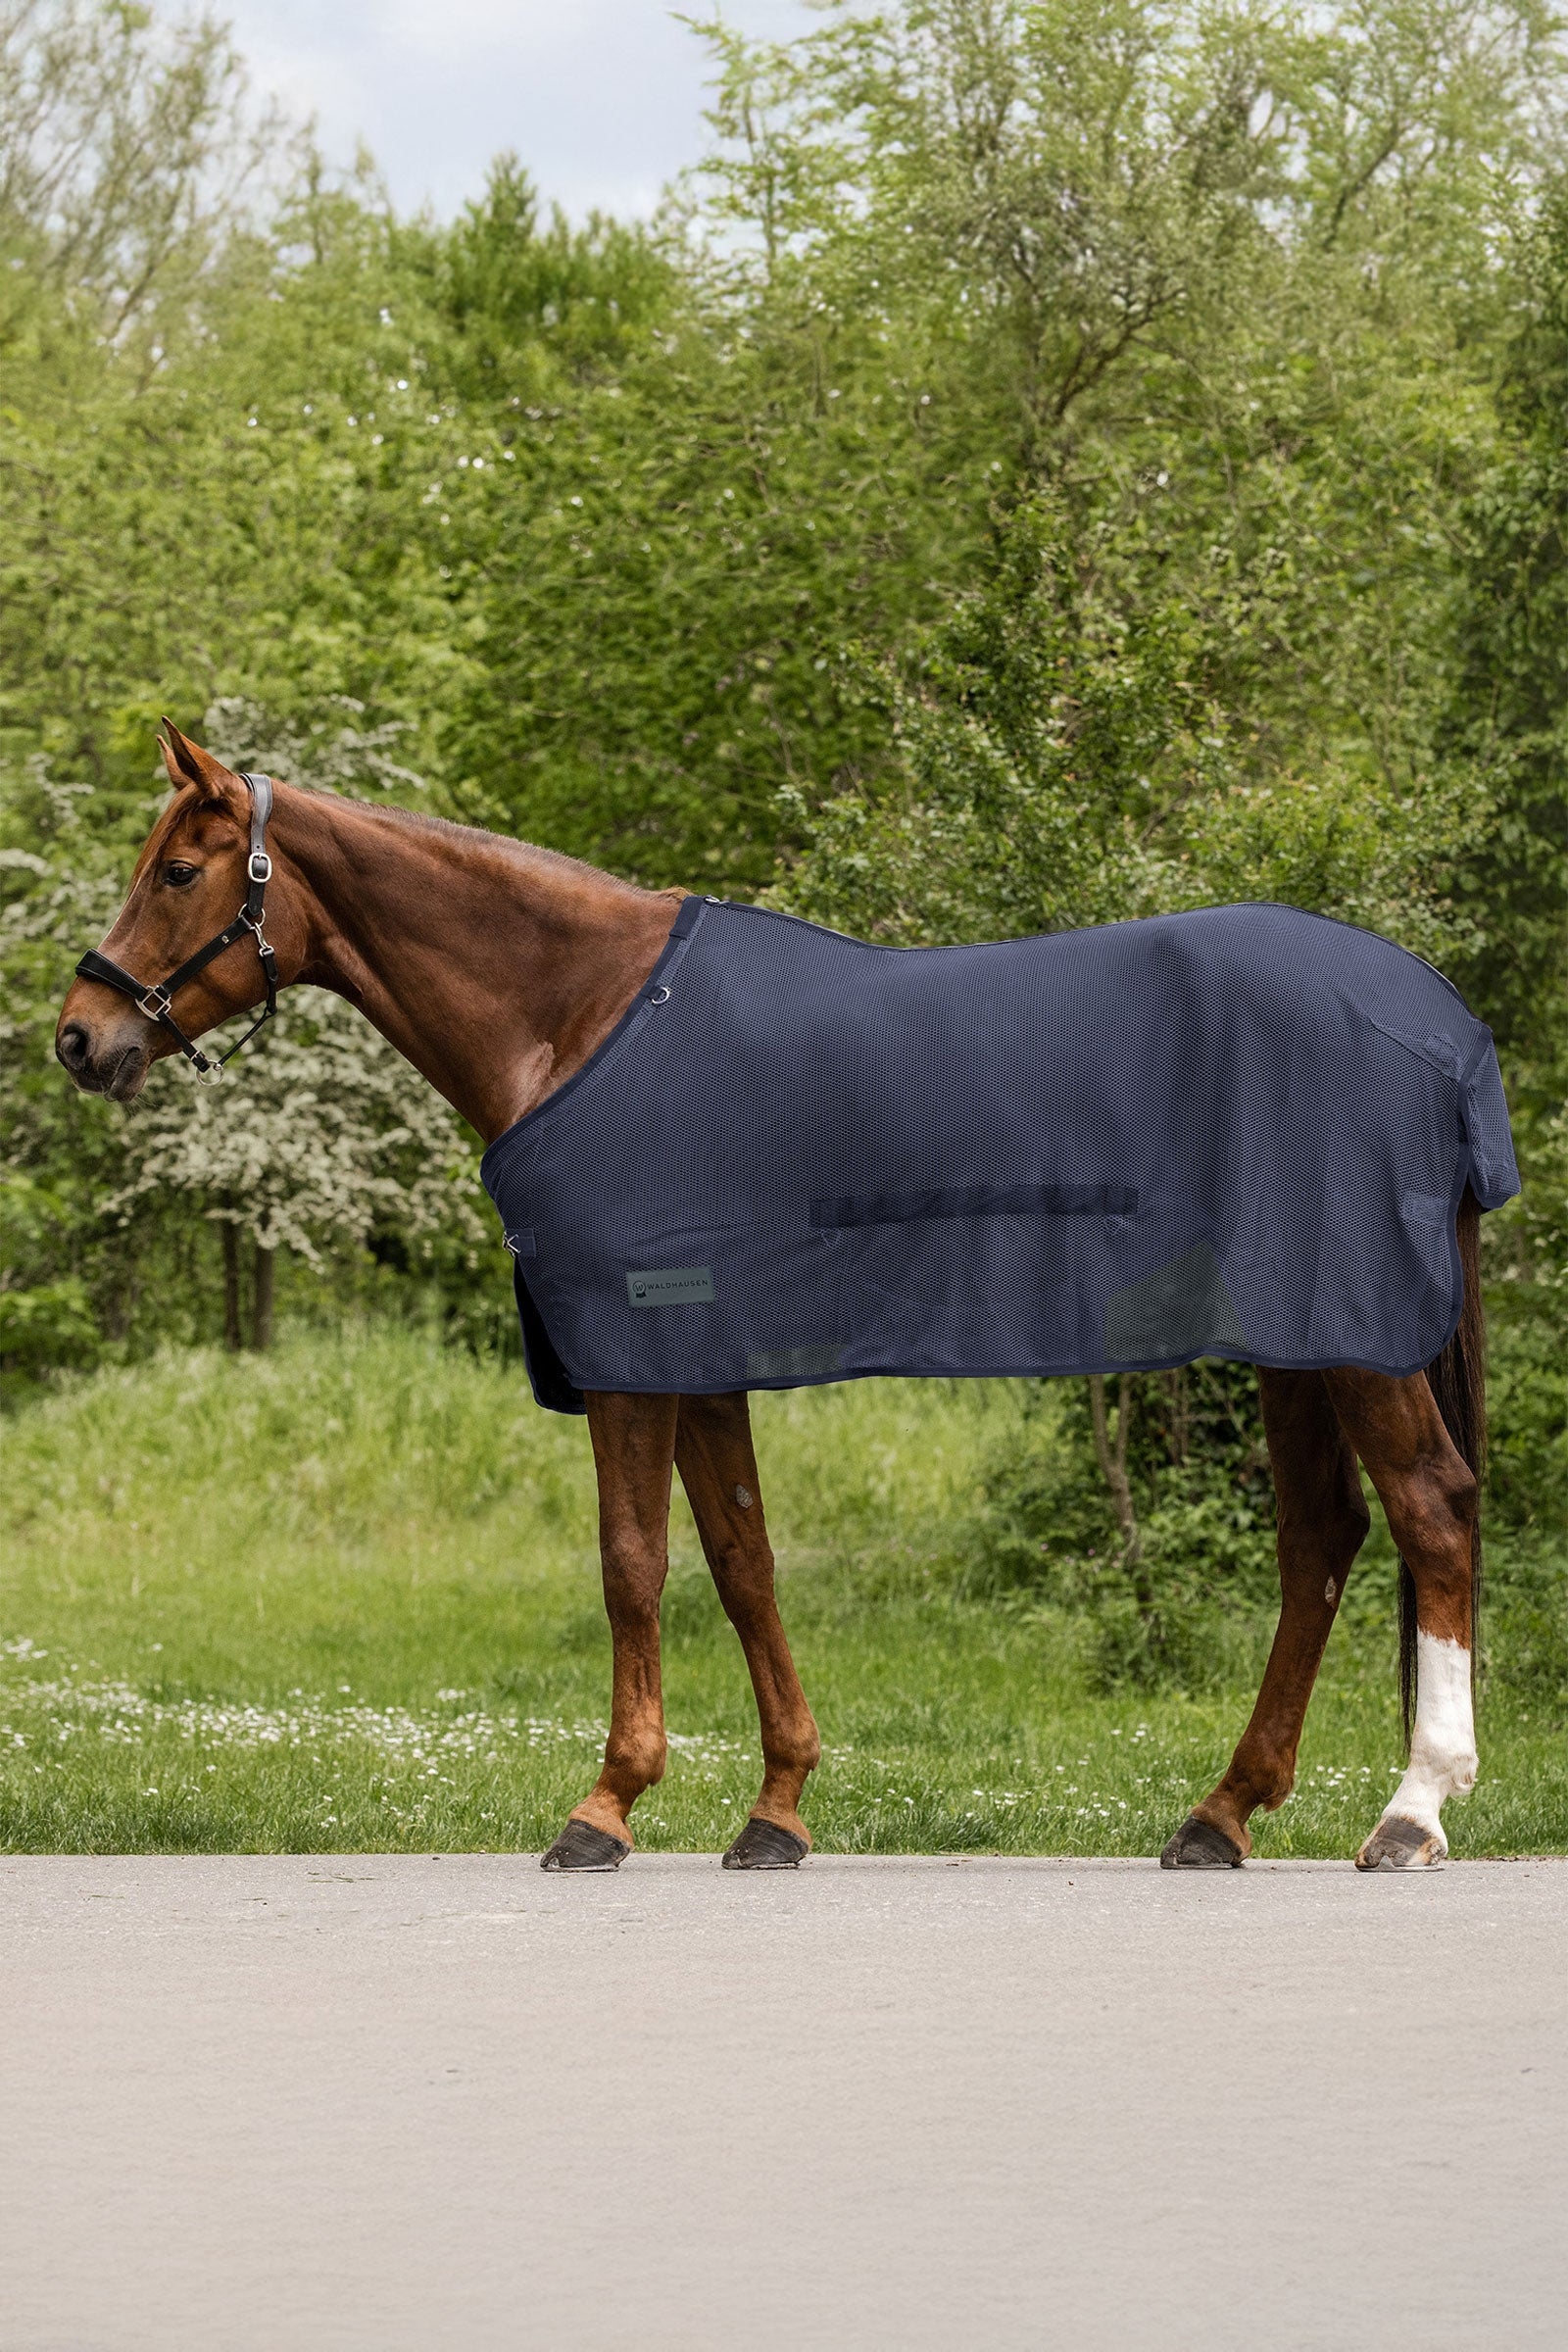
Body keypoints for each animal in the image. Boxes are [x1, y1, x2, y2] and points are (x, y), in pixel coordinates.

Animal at [56, 722, 1495, 1873]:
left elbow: (632, 1565)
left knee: (1429, 1512)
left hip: (1354, 1341)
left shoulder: (631, 1345)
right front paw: (778, 1808)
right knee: (1321, 1539)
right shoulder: (700, 1356)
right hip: (1300, 1337)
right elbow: (743, 1565)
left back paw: (1412, 1812)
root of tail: (1434, 1019)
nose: (79, 1034)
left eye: (176, 871)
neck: (580, 1014)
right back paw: (1221, 1813)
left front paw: (606, 1806)